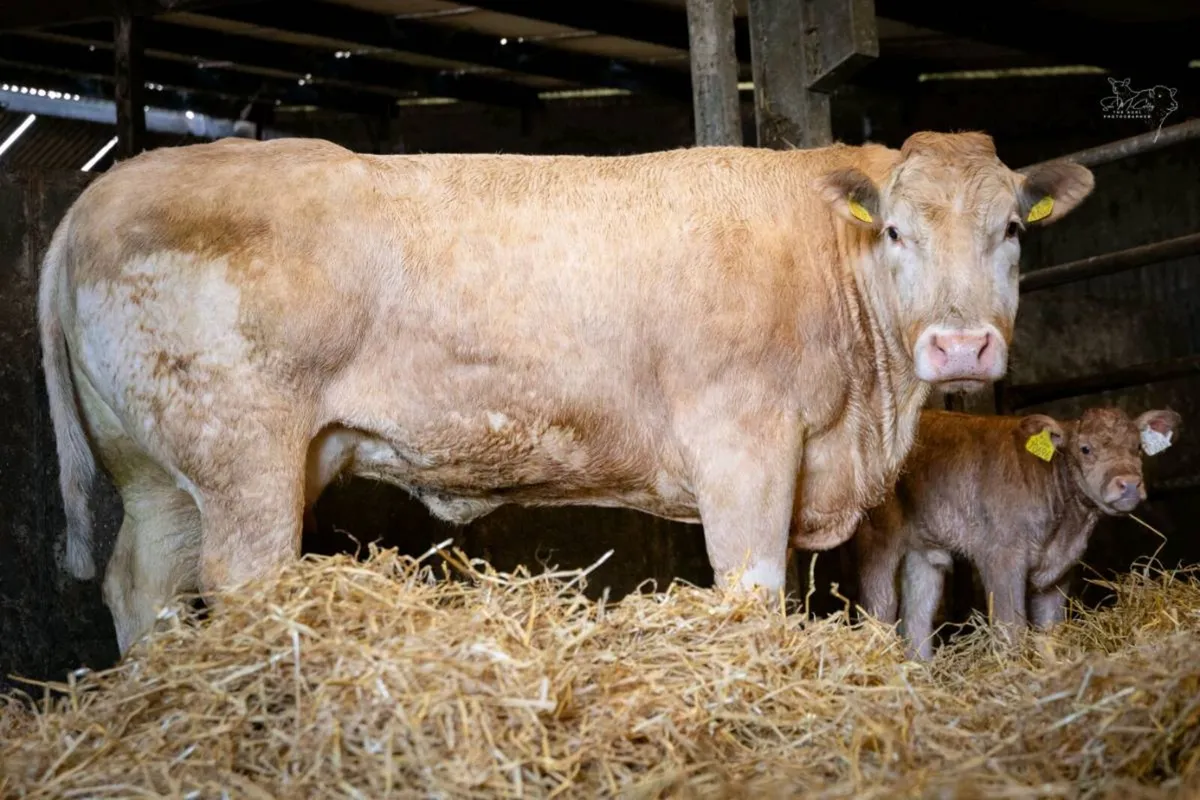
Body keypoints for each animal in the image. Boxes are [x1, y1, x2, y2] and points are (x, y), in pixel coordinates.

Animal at [38, 132, 1094, 655]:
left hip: (162, 472)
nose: (960, 345)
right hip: (242, 453)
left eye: (1011, 230)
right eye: (898, 233)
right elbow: (752, 593)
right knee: (240, 580)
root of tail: (104, 192)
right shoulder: (745, 442)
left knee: (143, 583)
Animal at [855, 407, 1182, 661]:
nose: (1128, 483)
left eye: (1137, 447)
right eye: (1085, 449)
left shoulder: (1061, 568)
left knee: (917, 616)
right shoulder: (1000, 558)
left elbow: (1051, 629)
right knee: (880, 609)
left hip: (922, 551)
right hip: (877, 540)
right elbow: (1011, 627)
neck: (1065, 530)